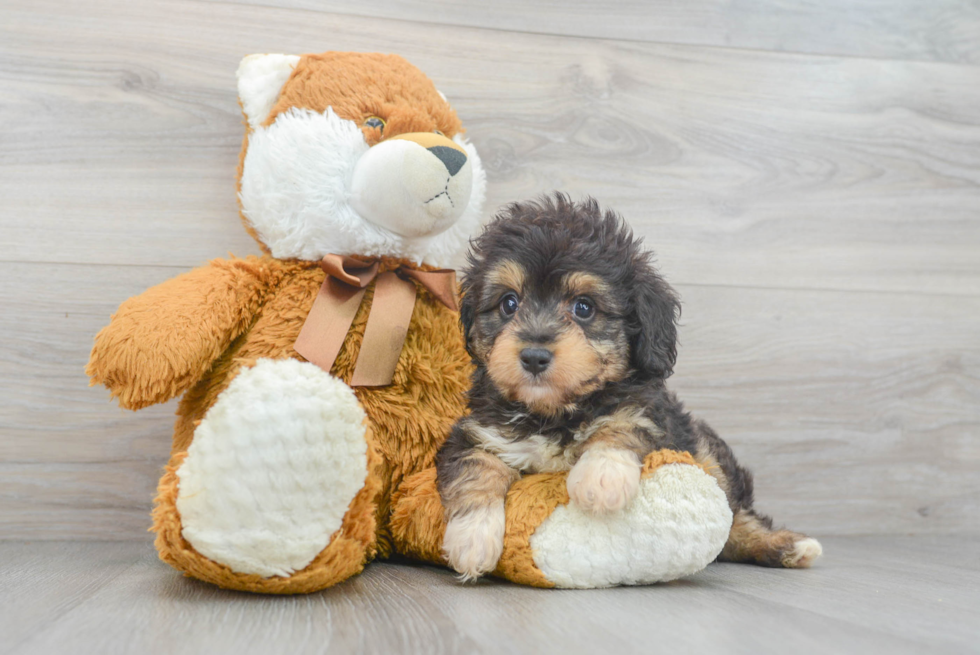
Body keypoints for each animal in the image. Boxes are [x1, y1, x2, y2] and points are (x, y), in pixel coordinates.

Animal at [432, 193, 824, 580]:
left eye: (584, 307)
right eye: (509, 303)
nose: (533, 356)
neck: (555, 413)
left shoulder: (652, 413)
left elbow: (623, 423)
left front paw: (601, 476)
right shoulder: (478, 432)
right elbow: (475, 466)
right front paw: (472, 538)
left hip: (705, 448)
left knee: (734, 516)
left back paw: (789, 545)